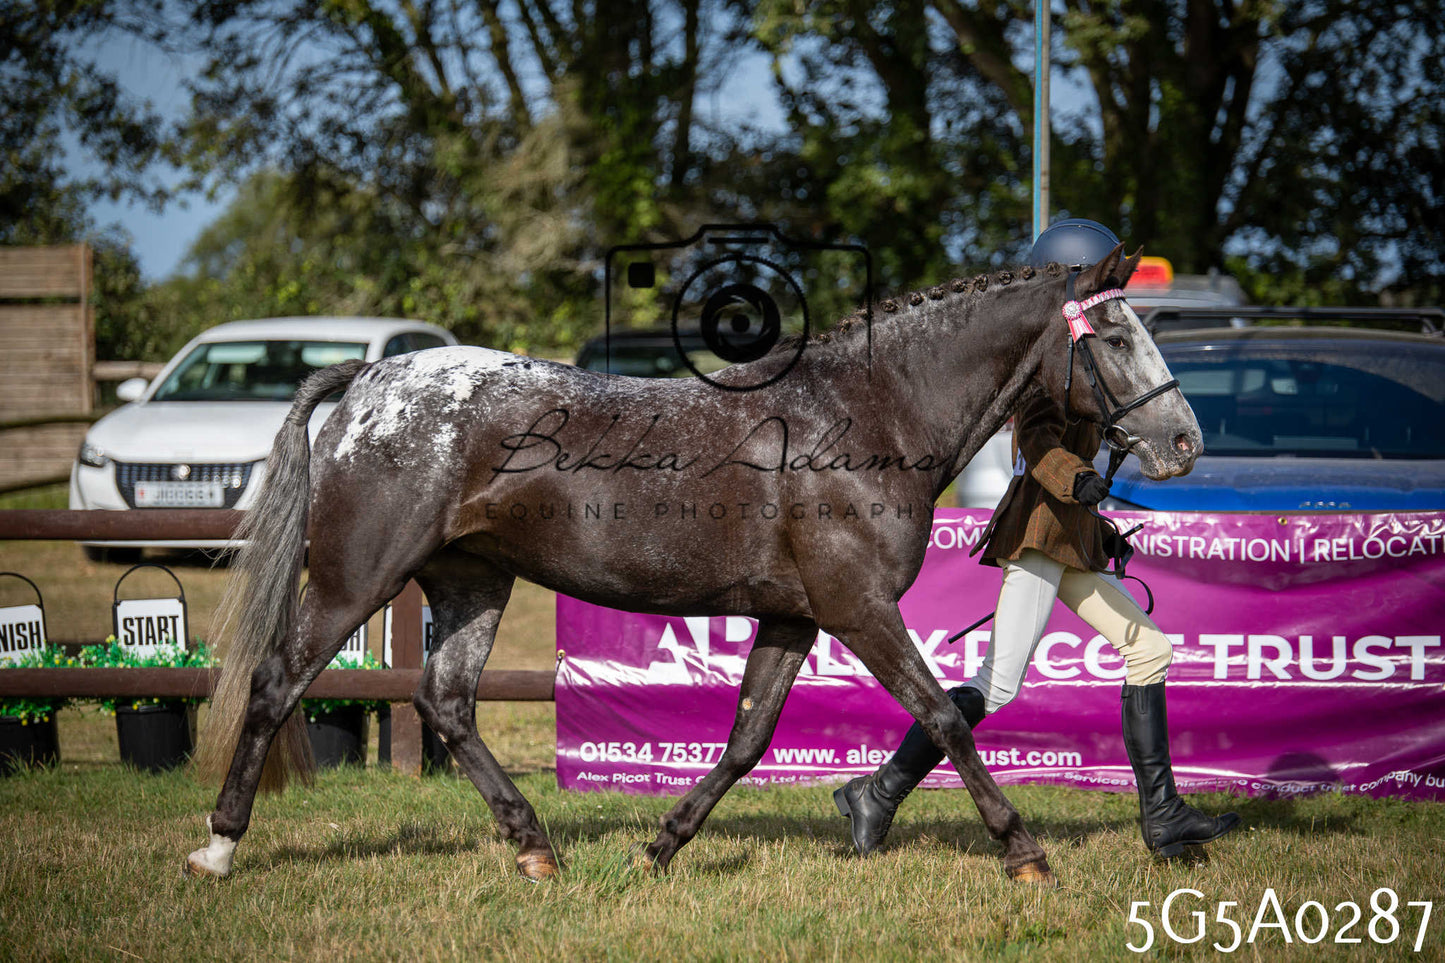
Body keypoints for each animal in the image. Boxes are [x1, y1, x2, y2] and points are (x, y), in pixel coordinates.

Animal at [186, 244, 1201, 885]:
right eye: (1115, 338)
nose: (1183, 439)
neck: (865, 413)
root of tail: (366, 382)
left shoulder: (795, 616)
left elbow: (747, 740)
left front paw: (660, 846)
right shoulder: (859, 609)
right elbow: (945, 717)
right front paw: (1023, 851)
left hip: (471, 580)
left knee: (446, 701)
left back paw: (535, 846)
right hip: (356, 580)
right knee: (276, 684)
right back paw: (220, 847)